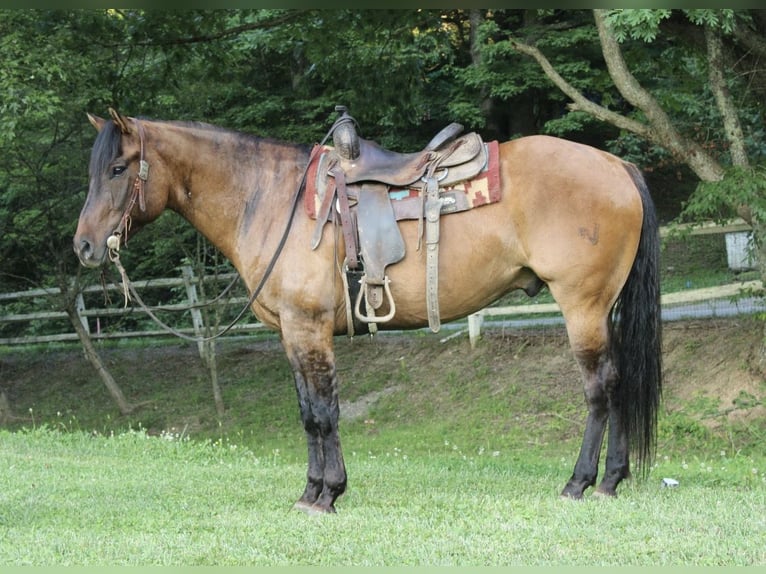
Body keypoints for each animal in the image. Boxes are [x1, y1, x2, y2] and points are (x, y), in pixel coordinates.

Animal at [73, 108, 662, 514]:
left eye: (118, 168)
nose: (83, 246)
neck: (271, 200)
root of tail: (616, 165)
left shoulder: (309, 328)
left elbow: (323, 411)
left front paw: (328, 494)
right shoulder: (290, 333)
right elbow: (307, 413)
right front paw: (311, 490)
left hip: (581, 305)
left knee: (600, 388)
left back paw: (582, 482)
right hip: (600, 308)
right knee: (621, 381)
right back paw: (613, 480)